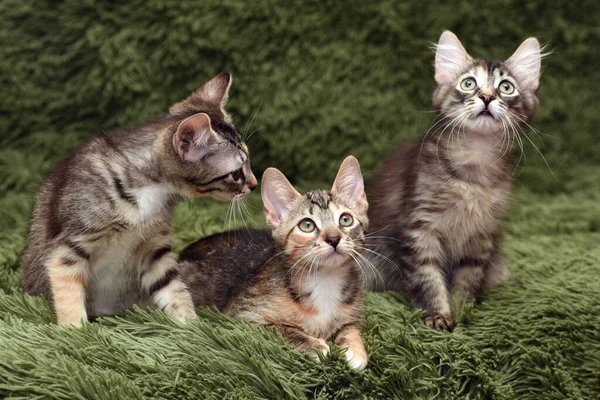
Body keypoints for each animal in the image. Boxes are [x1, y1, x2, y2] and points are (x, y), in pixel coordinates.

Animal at [20, 73, 255, 326]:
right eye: (236, 174)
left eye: (248, 160)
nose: (254, 184)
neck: (150, 190)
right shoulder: (68, 248)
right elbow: (68, 295)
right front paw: (75, 330)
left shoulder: (155, 250)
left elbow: (174, 290)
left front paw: (192, 326)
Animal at [178, 155, 370, 368]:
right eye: (307, 225)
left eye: (345, 219)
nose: (334, 238)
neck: (325, 279)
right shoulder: (240, 317)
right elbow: (277, 328)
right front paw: (313, 345)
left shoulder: (353, 314)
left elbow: (350, 328)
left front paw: (355, 349)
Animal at [366, 31, 544, 332]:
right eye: (468, 83)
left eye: (506, 87)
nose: (486, 96)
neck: (474, 165)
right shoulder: (419, 227)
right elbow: (427, 278)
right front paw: (437, 315)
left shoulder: (481, 235)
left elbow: (468, 278)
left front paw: (462, 311)